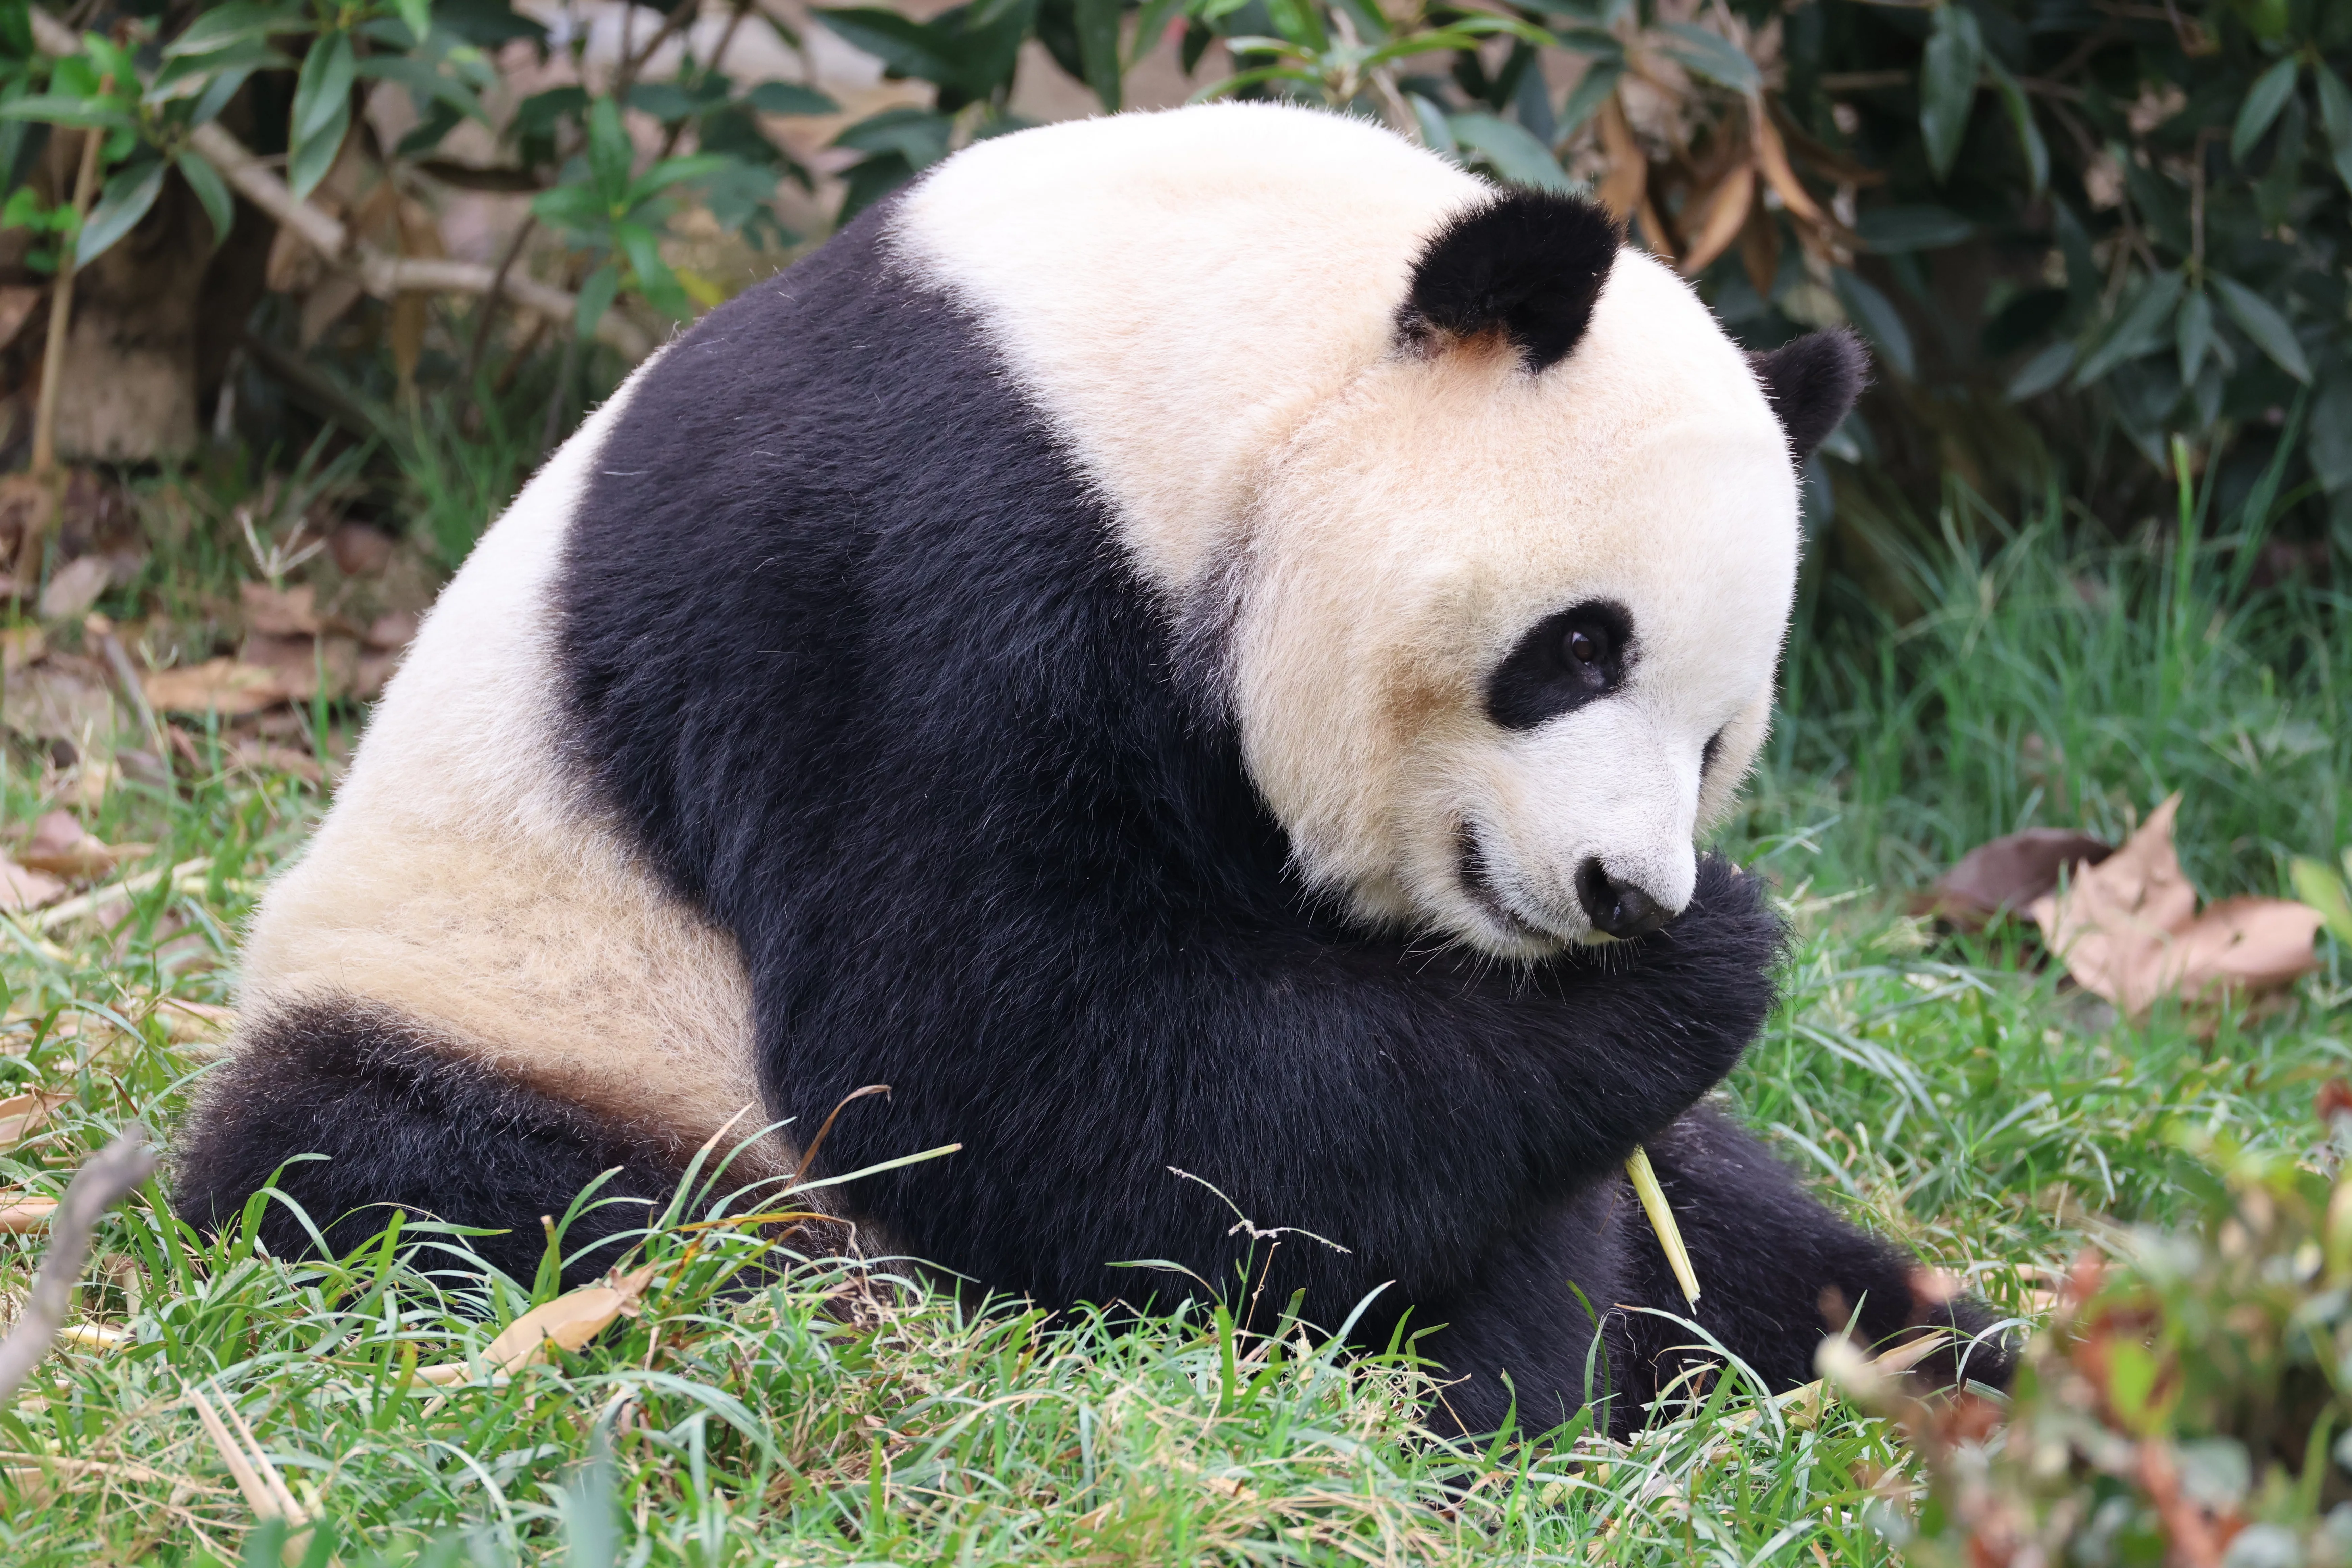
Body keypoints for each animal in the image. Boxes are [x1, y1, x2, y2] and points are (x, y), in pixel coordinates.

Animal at [175, 102, 2005, 1437]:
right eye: (1576, 647)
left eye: (1718, 735)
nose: (1622, 889)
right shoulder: (918, 561)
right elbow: (993, 1056)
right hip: (536, 1010)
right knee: (466, 1187)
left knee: (1737, 1215)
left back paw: (1944, 1363)